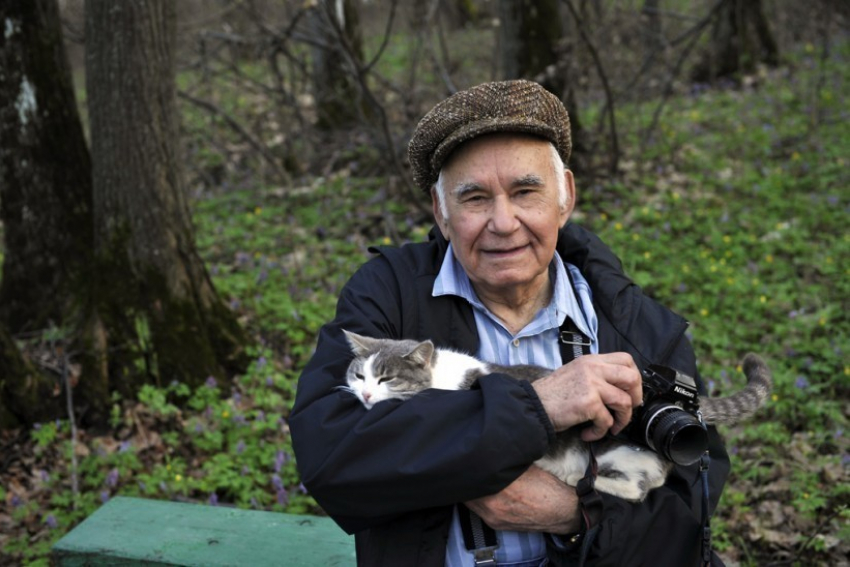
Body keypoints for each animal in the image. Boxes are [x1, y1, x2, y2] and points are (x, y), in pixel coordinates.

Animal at [342, 330, 772, 504]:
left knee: (636, 487)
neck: (439, 375)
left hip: (616, 451)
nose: (365, 394)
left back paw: (575, 478)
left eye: (386, 378)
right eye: (360, 375)